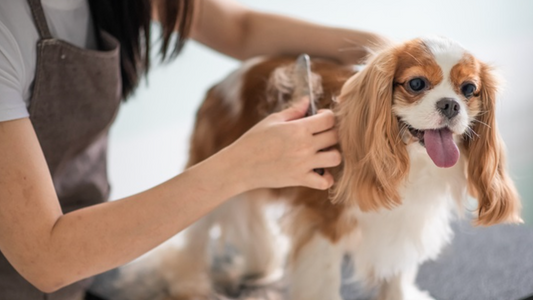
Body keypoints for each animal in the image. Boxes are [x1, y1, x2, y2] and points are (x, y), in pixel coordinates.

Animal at [163, 37, 520, 300]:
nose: (450, 104)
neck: (411, 161)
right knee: (195, 237)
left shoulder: (404, 221)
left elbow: (397, 272)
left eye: (469, 89)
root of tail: (220, 84)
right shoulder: (324, 226)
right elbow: (322, 281)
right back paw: (189, 284)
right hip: (214, 177)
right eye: (417, 84)